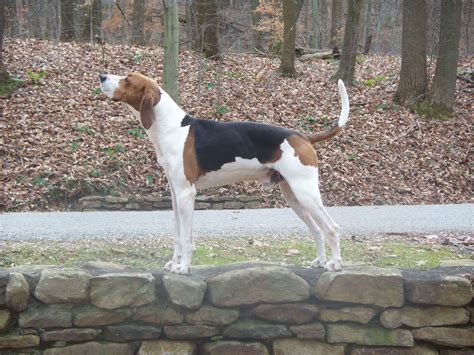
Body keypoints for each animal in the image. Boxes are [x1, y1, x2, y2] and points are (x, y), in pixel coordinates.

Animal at [100, 73, 350, 276]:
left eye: (127, 80)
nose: (102, 76)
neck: (171, 127)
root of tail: (303, 137)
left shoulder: (186, 194)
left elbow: (187, 238)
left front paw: (184, 267)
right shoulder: (174, 195)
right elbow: (178, 236)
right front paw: (174, 263)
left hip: (305, 193)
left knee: (331, 228)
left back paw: (335, 264)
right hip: (294, 197)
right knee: (317, 230)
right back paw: (320, 261)